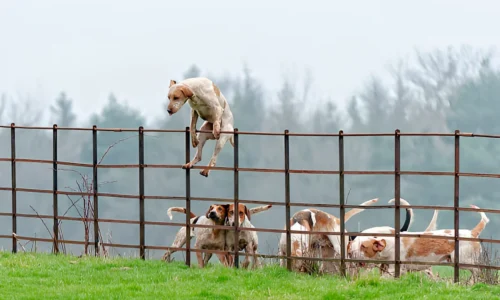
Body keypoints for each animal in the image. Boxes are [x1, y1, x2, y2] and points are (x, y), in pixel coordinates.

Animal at [348, 204, 488, 282]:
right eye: (353, 243)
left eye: (363, 246)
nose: (349, 253)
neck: (390, 244)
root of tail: (472, 232)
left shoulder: (396, 269)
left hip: (464, 260)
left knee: (478, 271)